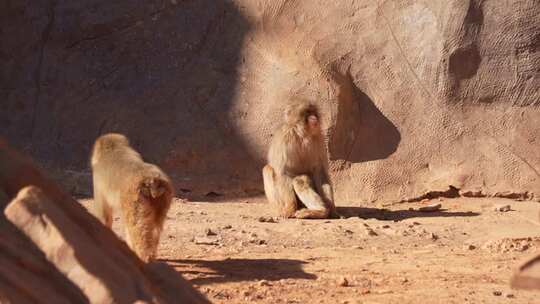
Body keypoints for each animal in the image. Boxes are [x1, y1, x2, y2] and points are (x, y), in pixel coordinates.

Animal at [89, 133, 172, 262]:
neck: (114, 148)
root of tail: (152, 181)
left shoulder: (98, 181)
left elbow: (103, 216)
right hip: (163, 197)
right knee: (155, 226)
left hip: (135, 199)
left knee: (138, 227)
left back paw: (144, 258)